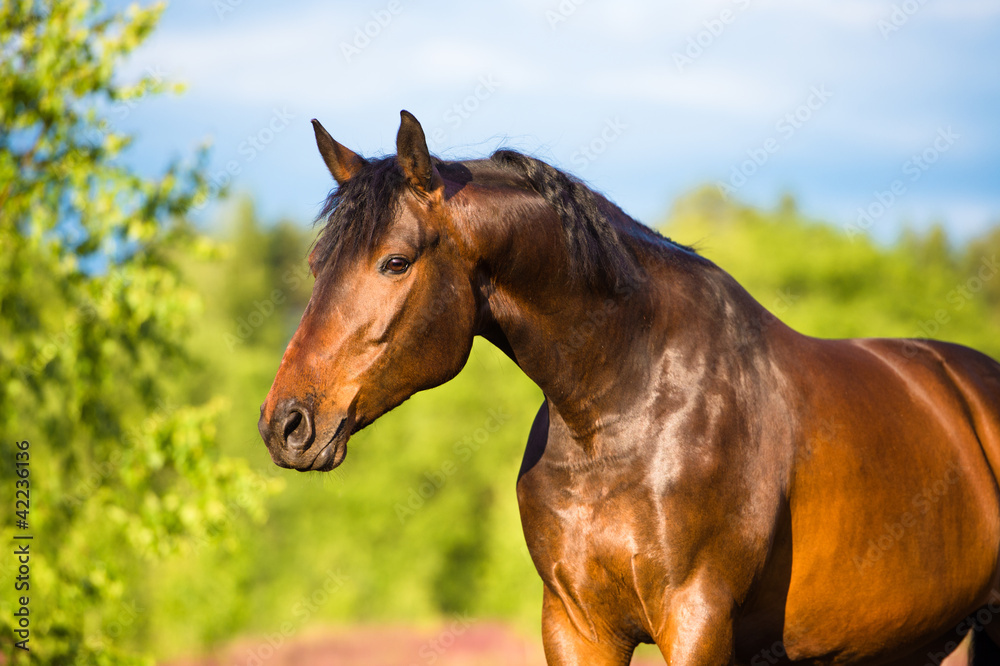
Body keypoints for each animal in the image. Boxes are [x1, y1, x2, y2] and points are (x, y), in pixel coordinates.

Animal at [258, 110, 1000, 665]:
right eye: (316, 262)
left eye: (395, 262)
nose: (285, 423)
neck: (623, 413)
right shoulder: (576, 626)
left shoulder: (696, 620)